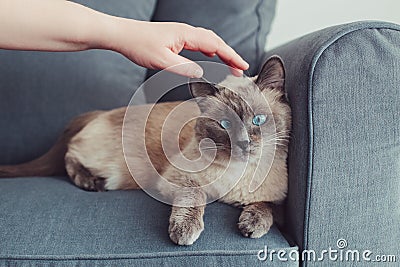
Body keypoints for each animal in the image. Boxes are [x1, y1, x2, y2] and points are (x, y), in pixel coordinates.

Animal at [0, 56, 290, 247]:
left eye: (258, 120)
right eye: (225, 124)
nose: (243, 143)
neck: (239, 175)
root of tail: (101, 112)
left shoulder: (277, 199)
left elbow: (266, 206)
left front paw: (252, 225)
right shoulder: (178, 179)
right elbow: (194, 197)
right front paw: (184, 232)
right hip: (118, 170)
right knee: (70, 156)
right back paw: (91, 183)